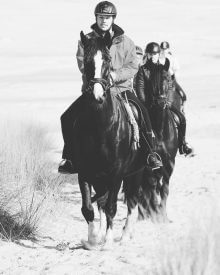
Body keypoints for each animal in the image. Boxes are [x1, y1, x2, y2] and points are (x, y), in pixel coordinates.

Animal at [74, 32, 151, 250]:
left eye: (108, 60)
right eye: (87, 60)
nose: (97, 95)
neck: (101, 126)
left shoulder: (116, 173)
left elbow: (111, 207)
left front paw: (107, 241)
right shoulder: (84, 171)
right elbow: (88, 207)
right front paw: (93, 239)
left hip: (136, 172)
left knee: (132, 201)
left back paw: (125, 235)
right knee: (101, 202)